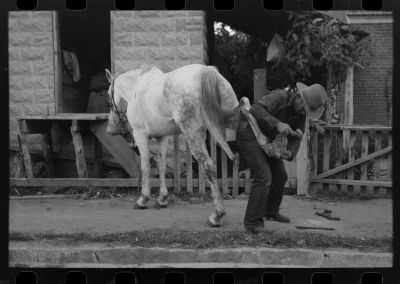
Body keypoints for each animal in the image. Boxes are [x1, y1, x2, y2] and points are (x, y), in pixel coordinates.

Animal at [104, 63, 247, 226]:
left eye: (108, 95)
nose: (111, 129)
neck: (137, 86)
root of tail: (206, 71)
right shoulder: (162, 137)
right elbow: (161, 166)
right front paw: (162, 199)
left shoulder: (140, 135)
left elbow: (145, 167)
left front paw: (143, 199)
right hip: (234, 123)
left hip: (193, 133)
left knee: (208, 166)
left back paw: (216, 215)